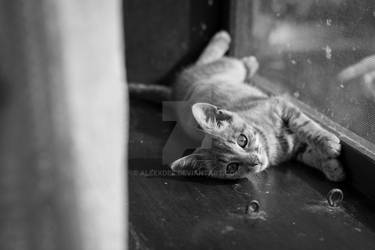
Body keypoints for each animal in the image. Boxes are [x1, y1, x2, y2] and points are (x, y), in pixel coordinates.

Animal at [170, 30, 346, 182]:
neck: (271, 144)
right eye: (232, 167)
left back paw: (235, 49)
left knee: (216, 62)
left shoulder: (279, 104)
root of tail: (177, 87)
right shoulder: (293, 149)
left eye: (242, 140)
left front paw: (327, 142)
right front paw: (331, 166)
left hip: (229, 70)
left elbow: (305, 126)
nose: (256, 162)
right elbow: (308, 153)